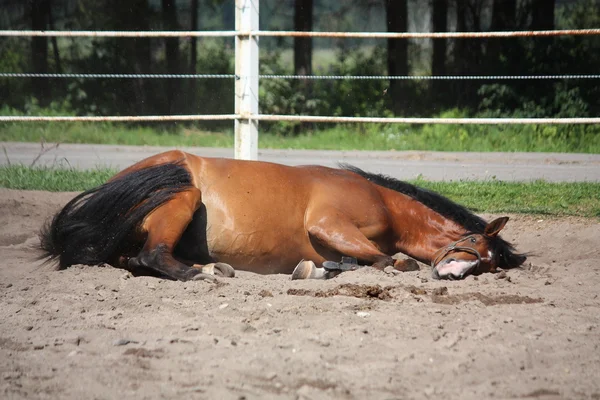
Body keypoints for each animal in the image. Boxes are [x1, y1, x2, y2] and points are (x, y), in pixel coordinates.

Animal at [39, 149, 524, 282]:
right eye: (474, 243)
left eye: (488, 264)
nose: (455, 274)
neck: (384, 201)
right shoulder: (328, 224)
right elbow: (388, 260)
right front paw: (323, 268)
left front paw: (325, 267)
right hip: (183, 198)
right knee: (151, 257)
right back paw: (204, 272)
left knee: (132, 260)